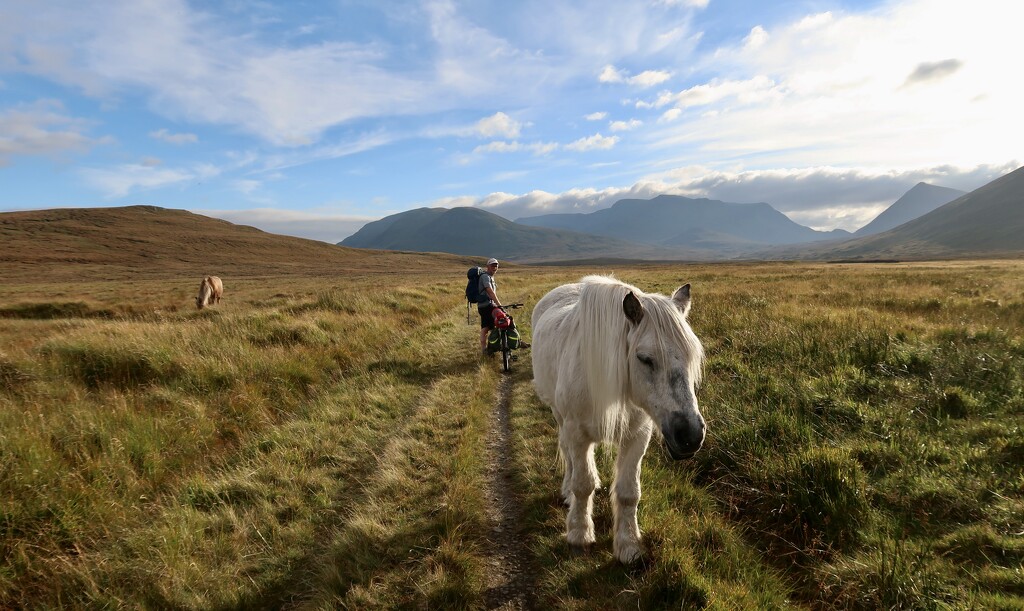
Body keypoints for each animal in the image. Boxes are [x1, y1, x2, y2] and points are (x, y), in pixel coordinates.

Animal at [528, 274, 704, 560]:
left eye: (691, 356)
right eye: (644, 358)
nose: (690, 435)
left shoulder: (637, 436)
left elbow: (628, 492)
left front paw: (628, 544)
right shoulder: (577, 433)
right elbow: (582, 483)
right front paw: (579, 534)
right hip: (560, 417)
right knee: (567, 454)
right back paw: (567, 491)